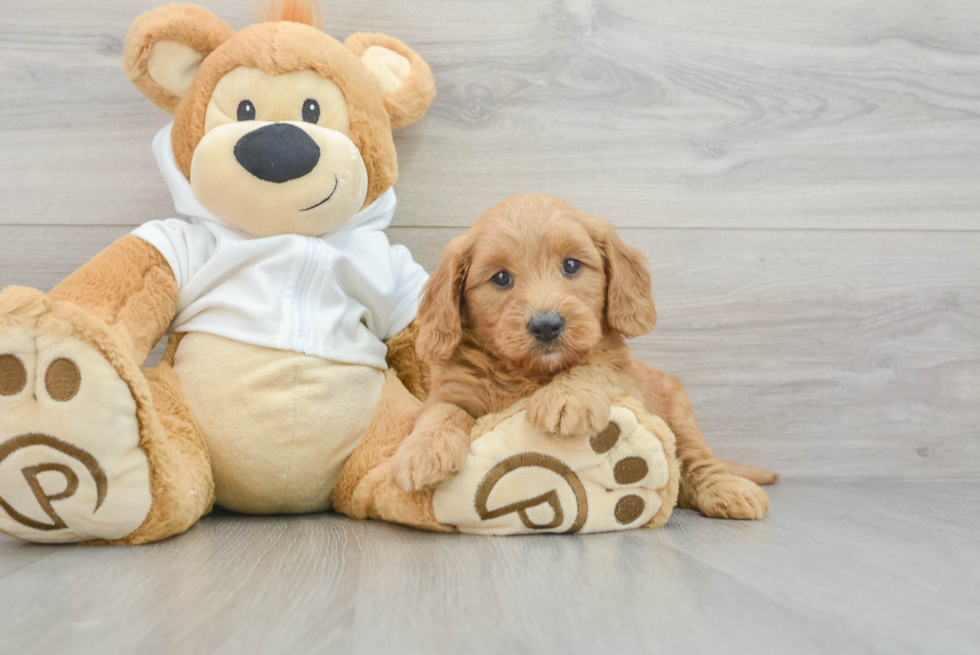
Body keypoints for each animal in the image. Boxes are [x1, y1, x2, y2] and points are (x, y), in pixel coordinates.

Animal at [388, 192, 772, 520]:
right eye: (500, 278)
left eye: (571, 265)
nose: (546, 325)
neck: (529, 373)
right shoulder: (452, 390)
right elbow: (441, 412)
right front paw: (423, 452)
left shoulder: (619, 375)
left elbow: (590, 367)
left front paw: (565, 399)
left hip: (679, 411)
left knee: (696, 458)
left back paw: (729, 491)